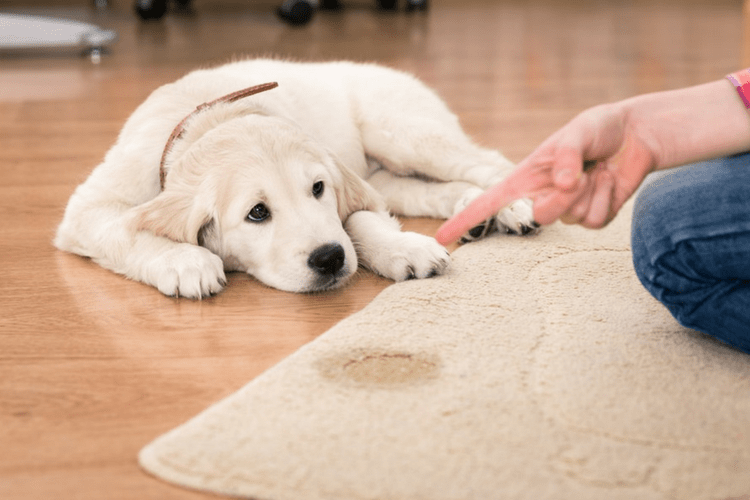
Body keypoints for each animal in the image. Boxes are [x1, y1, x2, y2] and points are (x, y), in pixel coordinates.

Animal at [55, 60, 536, 298]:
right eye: (257, 213)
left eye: (318, 189)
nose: (329, 259)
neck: (210, 118)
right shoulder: (88, 209)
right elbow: (126, 231)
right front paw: (185, 261)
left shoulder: (348, 188)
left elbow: (360, 221)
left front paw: (403, 248)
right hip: (388, 170)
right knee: (425, 189)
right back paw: (473, 212)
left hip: (402, 132)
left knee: (486, 161)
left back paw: (512, 206)